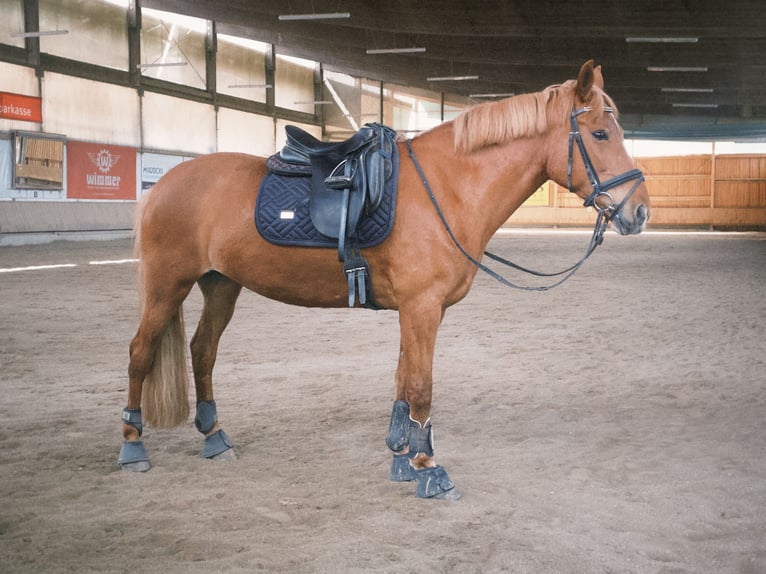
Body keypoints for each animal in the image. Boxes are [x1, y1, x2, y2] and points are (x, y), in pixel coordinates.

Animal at [118, 60, 650, 500]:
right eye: (600, 134)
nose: (640, 211)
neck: (447, 187)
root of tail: (164, 184)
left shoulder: (416, 312)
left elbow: (402, 381)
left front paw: (402, 458)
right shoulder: (422, 308)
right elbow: (421, 386)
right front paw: (429, 468)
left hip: (221, 284)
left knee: (202, 351)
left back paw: (214, 437)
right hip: (168, 285)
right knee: (141, 352)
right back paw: (132, 445)